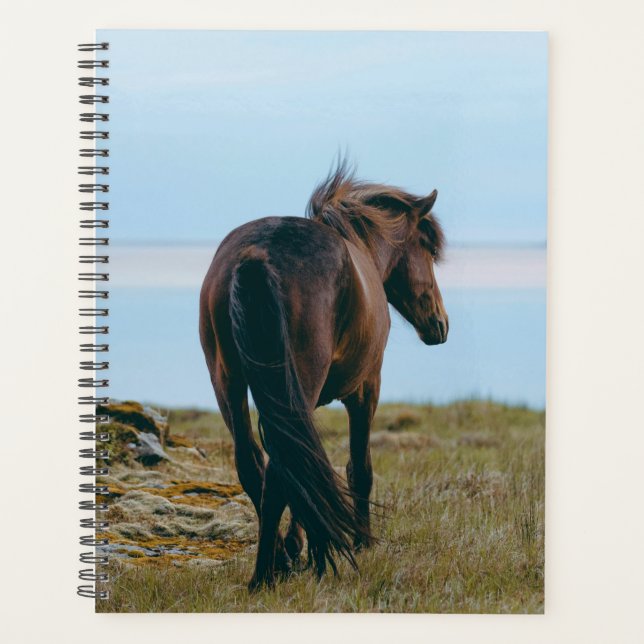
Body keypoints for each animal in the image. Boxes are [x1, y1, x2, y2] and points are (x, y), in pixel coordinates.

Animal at [199, 161, 448, 590]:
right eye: (428, 250)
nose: (440, 324)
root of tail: (256, 254)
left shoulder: (302, 400)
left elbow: (308, 464)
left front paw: (297, 544)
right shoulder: (366, 388)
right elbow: (358, 467)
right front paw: (361, 541)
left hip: (228, 382)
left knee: (255, 464)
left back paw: (277, 560)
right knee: (279, 470)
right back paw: (266, 574)